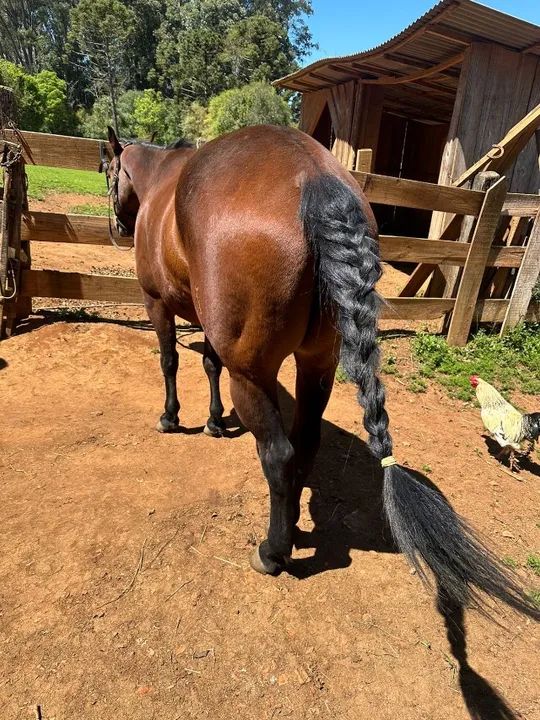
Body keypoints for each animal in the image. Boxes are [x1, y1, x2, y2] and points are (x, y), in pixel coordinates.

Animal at [103, 123, 538, 620]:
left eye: (107, 169)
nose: (116, 227)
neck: (161, 184)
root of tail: (314, 179)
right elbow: (209, 362)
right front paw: (214, 421)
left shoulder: (156, 302)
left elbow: (170, 361)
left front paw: (171, 417)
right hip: (317, 365)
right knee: (305, 444)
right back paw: (291, 524)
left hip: (252, 374)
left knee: (279, 454)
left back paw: (273, 551)